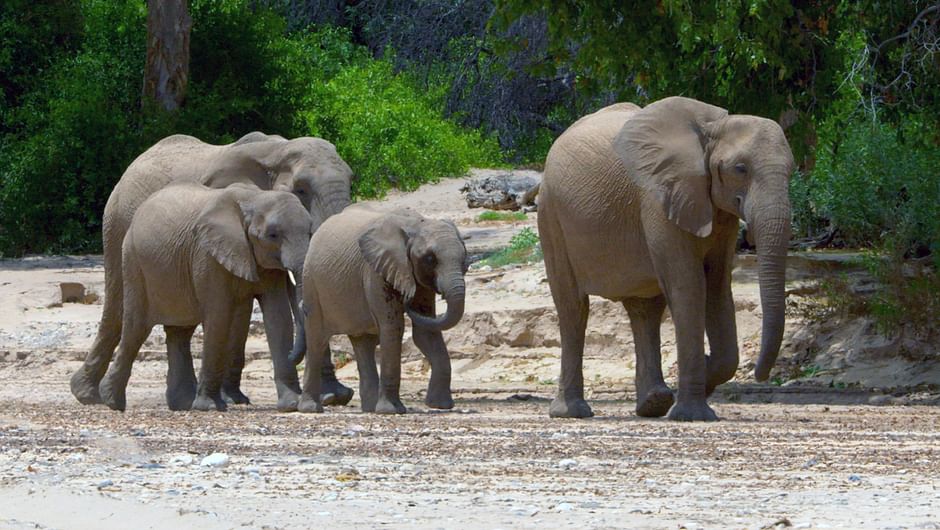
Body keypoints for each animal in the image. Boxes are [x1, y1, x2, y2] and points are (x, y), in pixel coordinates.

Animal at [98, 184, 312, 410]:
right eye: (272, 235)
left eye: (310, 232)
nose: (293, 355)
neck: (255, 198)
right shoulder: (207, 256)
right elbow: (219, 316)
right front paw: (210, 407)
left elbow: (279, 317)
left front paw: (291, 404)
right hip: (133, 262)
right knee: (135, 329)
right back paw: (111, 401)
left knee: (180, 332)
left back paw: (182, 404)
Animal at [294, 205, 466, 412]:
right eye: (430, 259)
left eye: (464, 258)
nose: (407, 300)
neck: (416, 224)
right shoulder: (375, 270)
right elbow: (393, 328)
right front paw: (391, 411)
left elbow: (426, 332)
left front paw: (440, 406)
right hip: (311, 283)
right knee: (317, 341)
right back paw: (311, 409)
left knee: (363, 343)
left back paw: (369, 409)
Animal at [544, 97, 792, 420]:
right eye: (740, 168)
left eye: (792, 171)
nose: (761, 375)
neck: (711, 129)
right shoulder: (659, 199)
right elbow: (689, 286)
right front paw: (692, 415)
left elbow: (718, 285)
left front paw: (704, 376)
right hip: (551, 215)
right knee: (573, 308)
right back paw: (573, 412)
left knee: (645, 310)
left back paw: (653, 404)